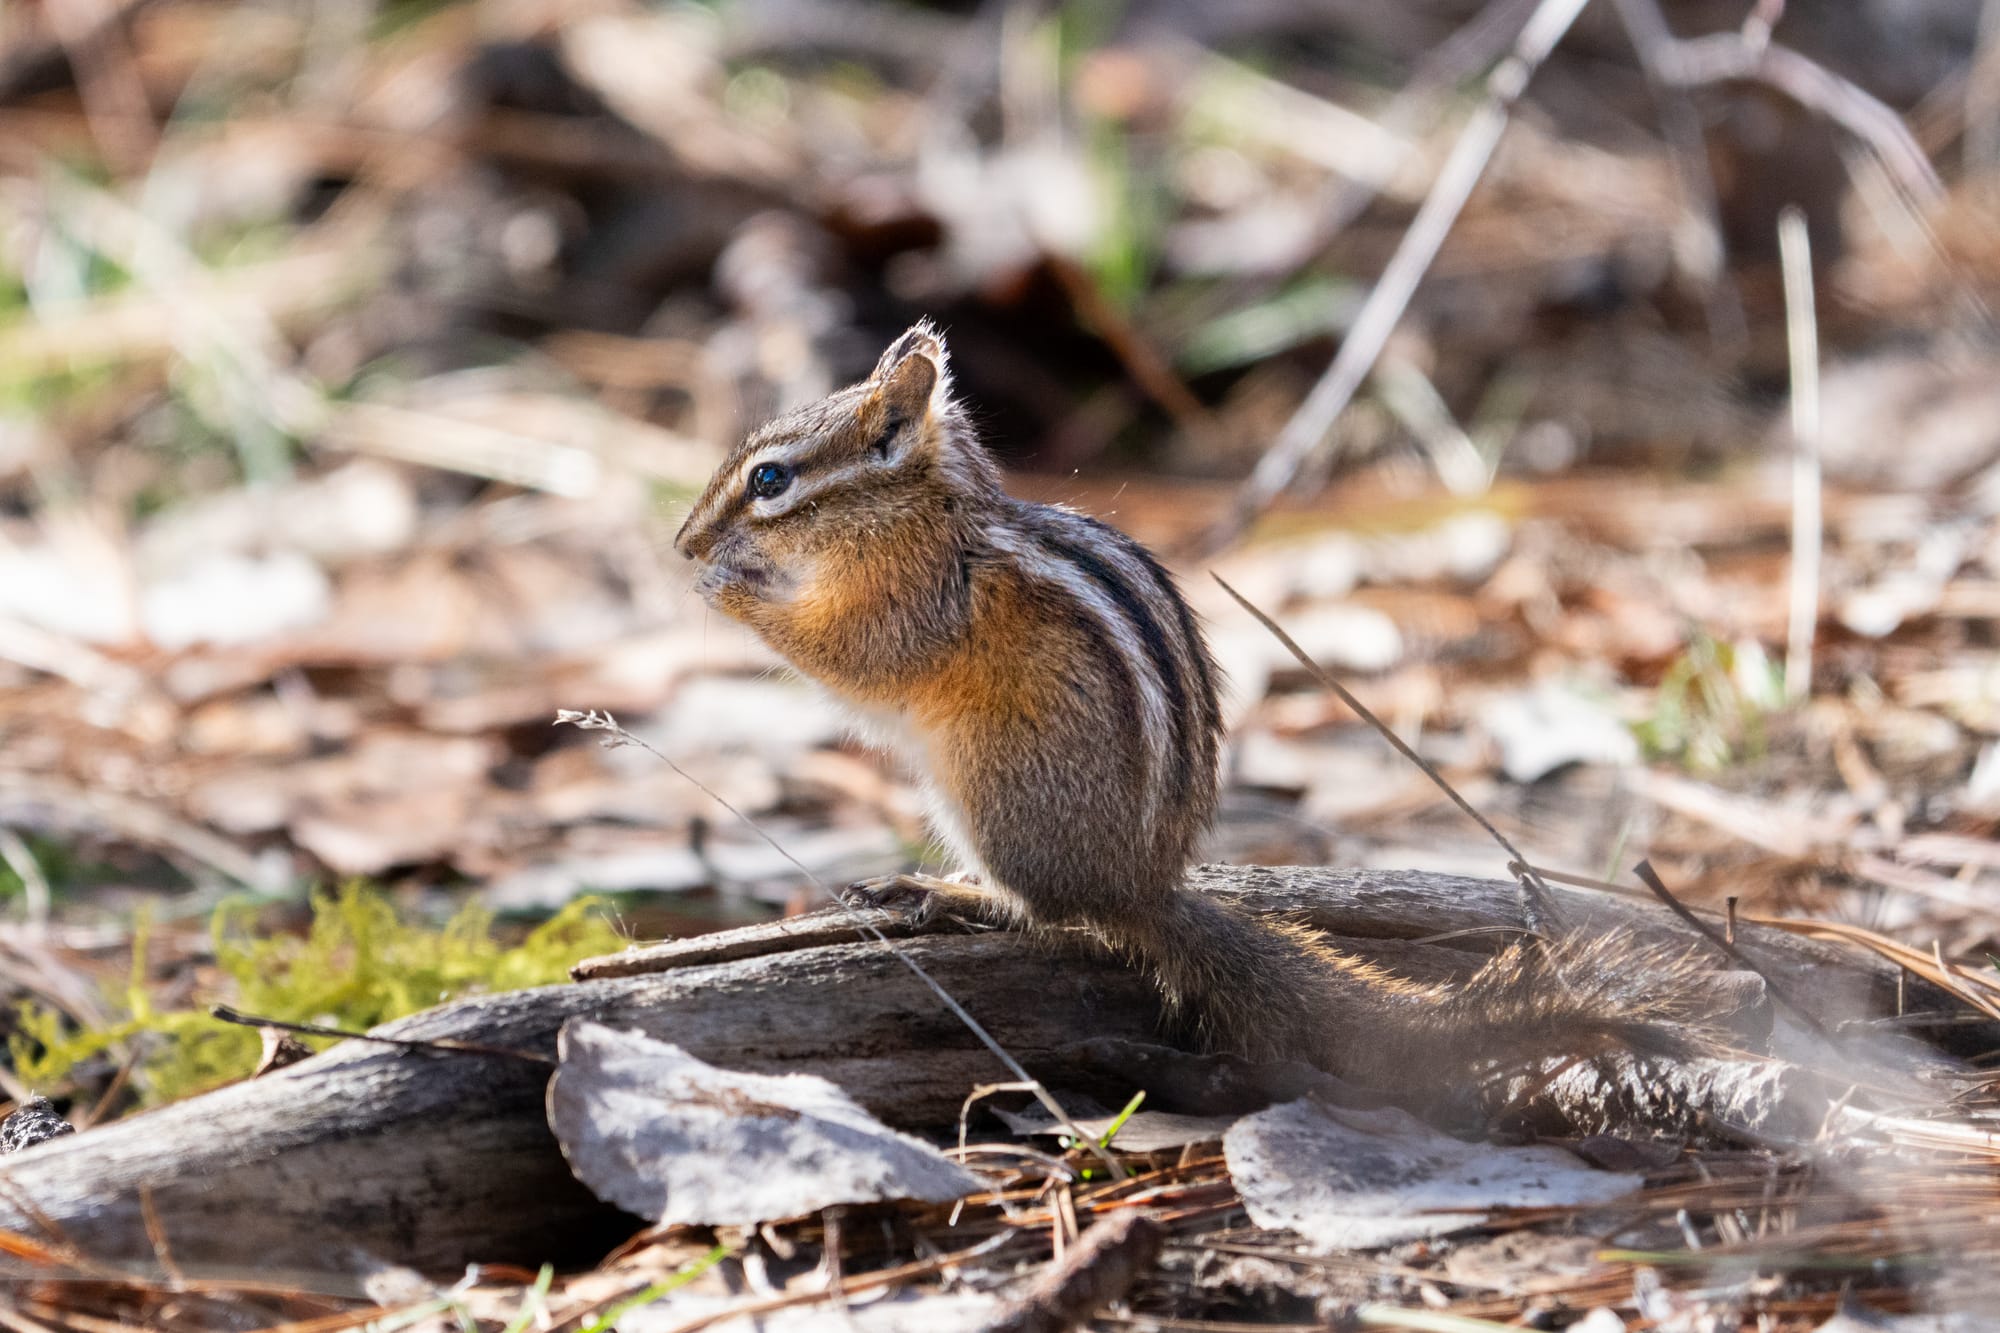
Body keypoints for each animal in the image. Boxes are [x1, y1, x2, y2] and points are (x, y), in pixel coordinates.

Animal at [674, 321, 1719, 1094]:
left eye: (770, 479)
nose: (684, 543)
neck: (927, 513)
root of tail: (1144, 887)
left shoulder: (915, 603)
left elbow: (857, 662)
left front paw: (731, 591)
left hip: (991, 789)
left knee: (1048, 911)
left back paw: (951, 890)